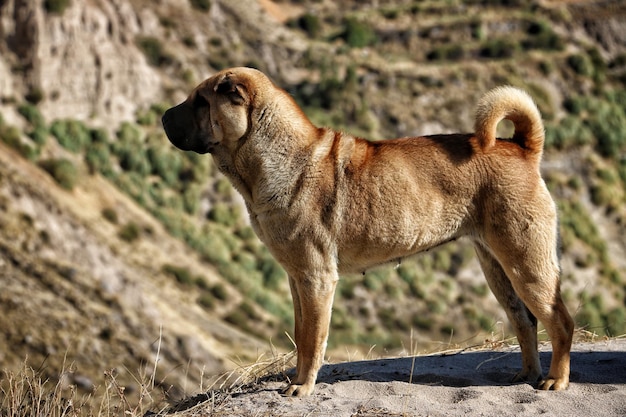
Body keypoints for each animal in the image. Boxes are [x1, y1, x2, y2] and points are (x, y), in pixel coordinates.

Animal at [161, 66, 572, 394]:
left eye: (200, 101)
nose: (164, 116)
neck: (277, 156)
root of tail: (522, 148)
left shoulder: (316, 279)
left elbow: (312, 338)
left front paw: (302, 387)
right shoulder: (298, 279)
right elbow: (300, 333)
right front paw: (296, 379)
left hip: (526, 263)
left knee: (559, 321)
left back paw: (555, 380)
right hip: (497, 267)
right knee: (525, 321)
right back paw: (526, 376)